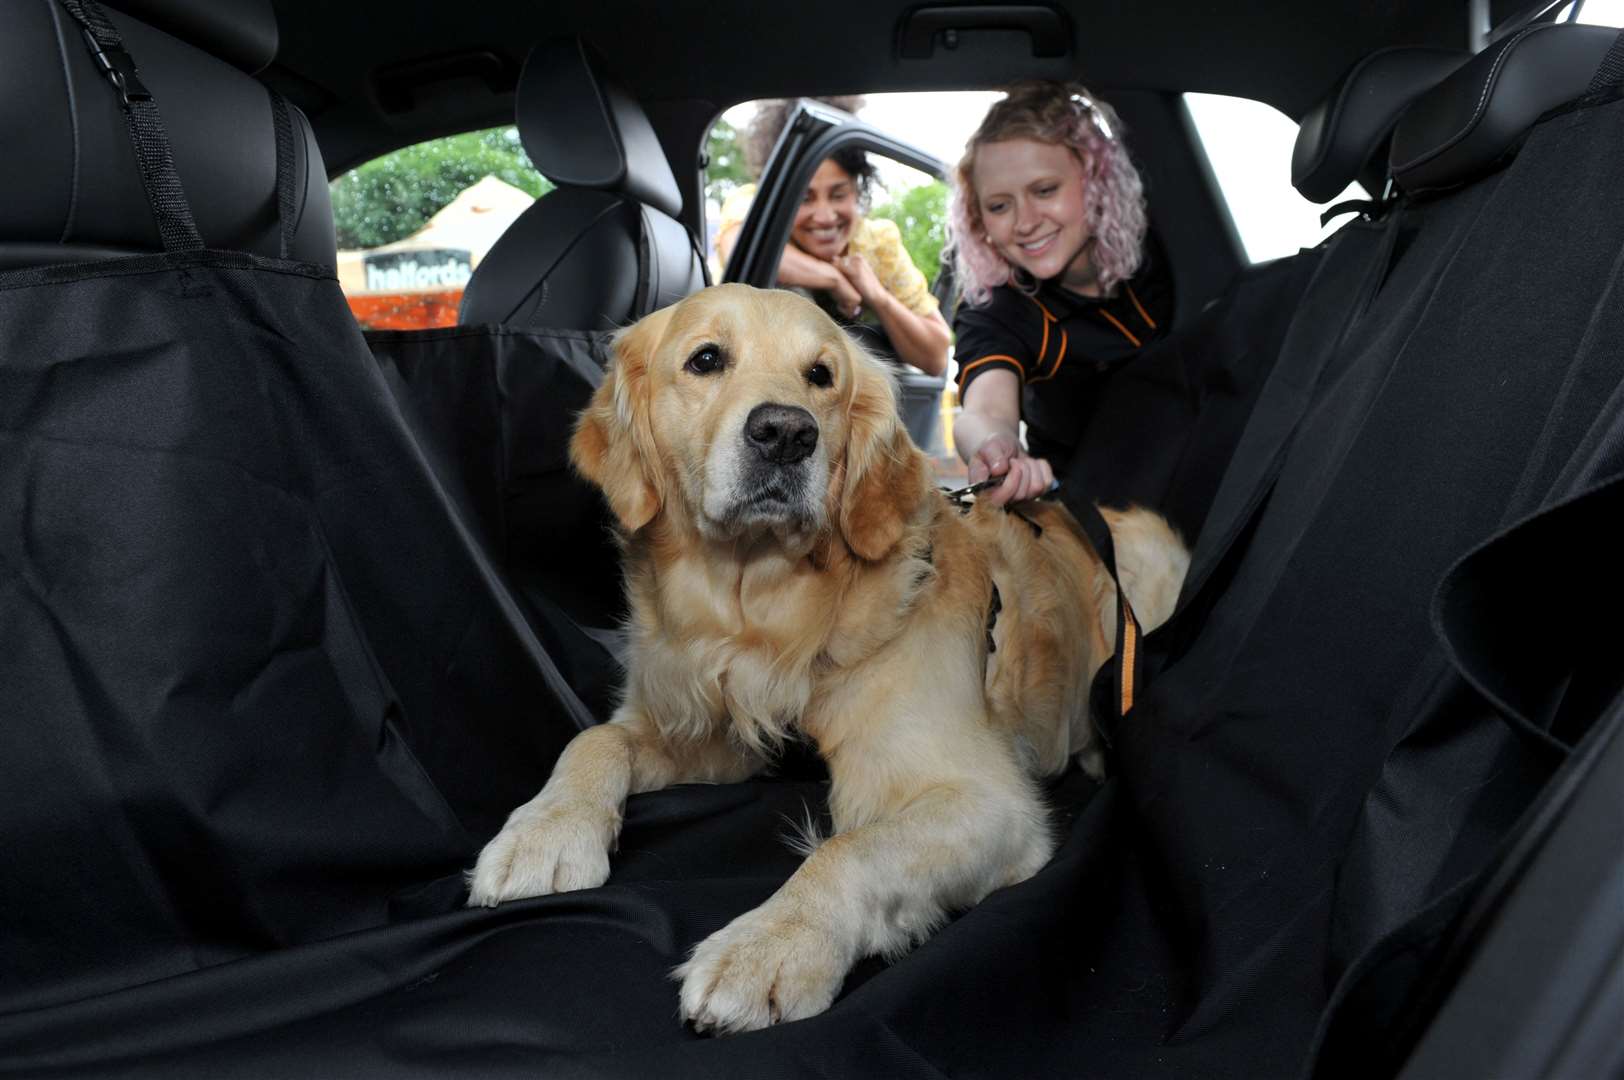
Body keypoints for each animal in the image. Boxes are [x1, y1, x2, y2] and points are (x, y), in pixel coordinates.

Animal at [464, 282, 1188, 1032]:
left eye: (821, 376)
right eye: (705, 359)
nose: (787, 433)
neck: (764, 616)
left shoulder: (987, 800)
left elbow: (851, 848)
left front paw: (770, 947)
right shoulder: (710, 733)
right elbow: (596, 739)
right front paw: (545, 831)